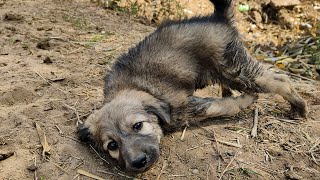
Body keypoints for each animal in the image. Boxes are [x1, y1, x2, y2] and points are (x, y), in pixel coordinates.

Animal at [78, 0, 308, 172]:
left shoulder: (189, 106)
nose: (138, 163)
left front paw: (245, 100)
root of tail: (217, 18)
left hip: (235, 68)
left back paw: (299, 107)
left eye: (138, 126)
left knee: (280, 80)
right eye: (112, 145)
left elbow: (222, 106)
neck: (138, 88)